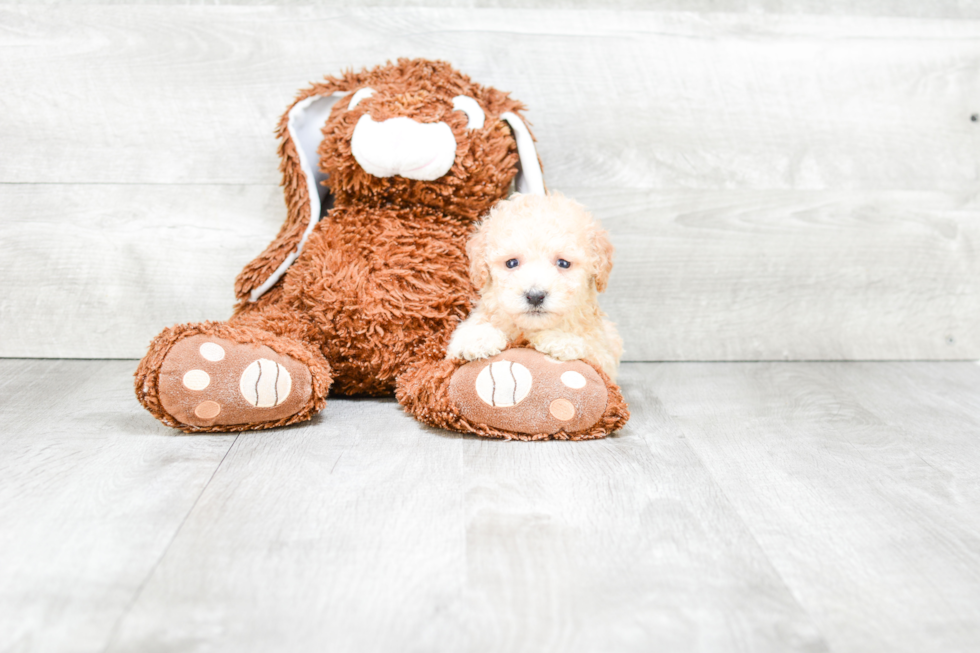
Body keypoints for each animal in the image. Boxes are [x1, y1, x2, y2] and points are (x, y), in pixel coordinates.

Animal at [444, 191, 620, 380]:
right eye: (511, 263)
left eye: (563, 263)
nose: (535, 296)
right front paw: (478, 339)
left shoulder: (603, 356)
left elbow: (591, 347)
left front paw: (561, 339)